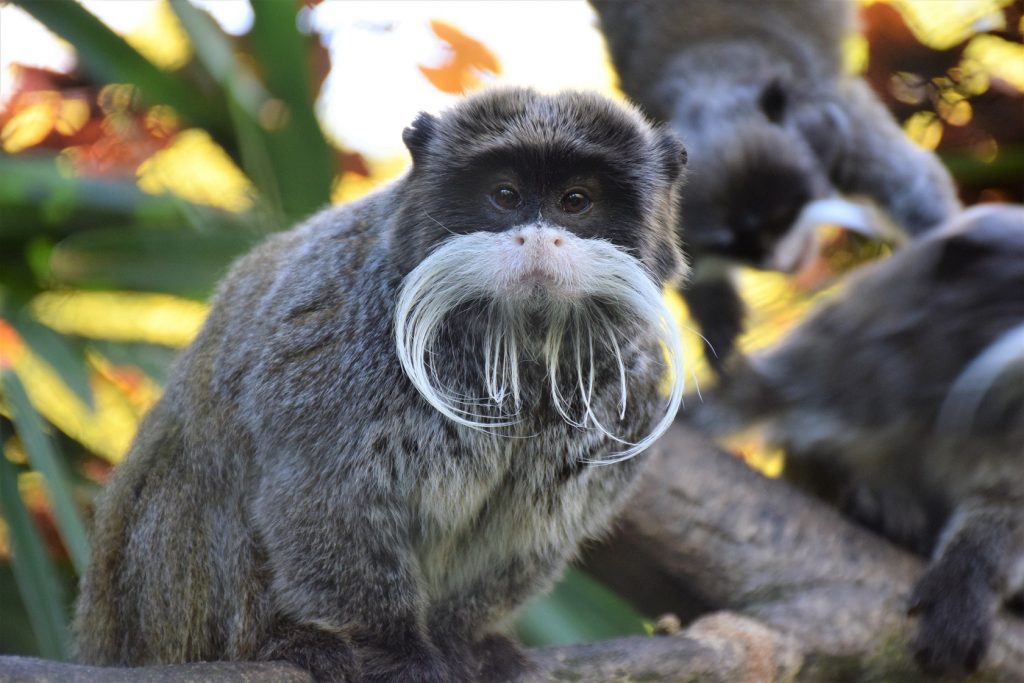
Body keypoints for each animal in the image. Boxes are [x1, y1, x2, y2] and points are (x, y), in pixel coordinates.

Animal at [74, 89, 688, 683]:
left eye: (575, 202)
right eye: (506, 195)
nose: (537, 239)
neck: (517, 345)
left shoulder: (633, 395)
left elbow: (522, 536)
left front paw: (462, 641)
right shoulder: (343, 341)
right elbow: (321, 498)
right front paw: (390, 648)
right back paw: (280, 640)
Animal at [593, 0, 958, 374]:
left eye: (782, 220)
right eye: (735, 246)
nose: (775, 263)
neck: (715, 69)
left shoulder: (841, 123)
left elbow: (915, 185)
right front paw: (718, 325)